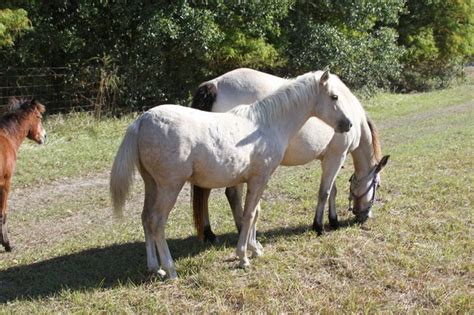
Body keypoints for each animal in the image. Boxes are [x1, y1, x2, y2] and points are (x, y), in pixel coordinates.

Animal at [0, 97, 46, 253]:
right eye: (39, 117)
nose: (44, 136)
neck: (7, 137)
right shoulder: (5, 183)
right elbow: (3, 213)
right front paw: (7, 244)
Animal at [110, 69, 352, 278]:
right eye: (334, 96)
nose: (348, 124)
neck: (267, 123)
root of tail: (142, 121)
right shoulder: (259, 179)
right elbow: (249, 214)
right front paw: (243, 257)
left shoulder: (254, 180)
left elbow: (254, 213)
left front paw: (254, 249)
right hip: (169, 187)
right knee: (157, 222)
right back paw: (170, 270)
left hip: (151, 185)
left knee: (146, 218)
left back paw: (155, 268)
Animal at [191, 68, 390, 244]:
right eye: (378, 185)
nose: (365, 216)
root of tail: (214, 84)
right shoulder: (336, 156)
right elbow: (324, 192)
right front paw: (319, 226)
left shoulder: (328, 158)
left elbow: (332, 191)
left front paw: (333, 220)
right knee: (230, 194)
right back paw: (238, 230)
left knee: (205, 192)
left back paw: (210, 233)